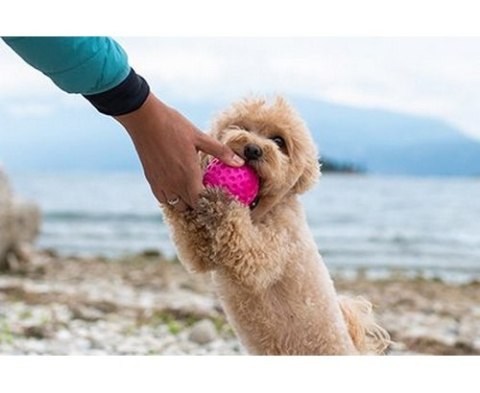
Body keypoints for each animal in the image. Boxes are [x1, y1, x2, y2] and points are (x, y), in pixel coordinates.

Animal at [162, 96, 390, 354]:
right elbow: (191, 244)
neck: (259, 213)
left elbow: (245, 245)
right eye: (240, 127)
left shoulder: (272, 250)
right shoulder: (200, 254)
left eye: (279, 141)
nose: (252, 149)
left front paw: (223, 203)